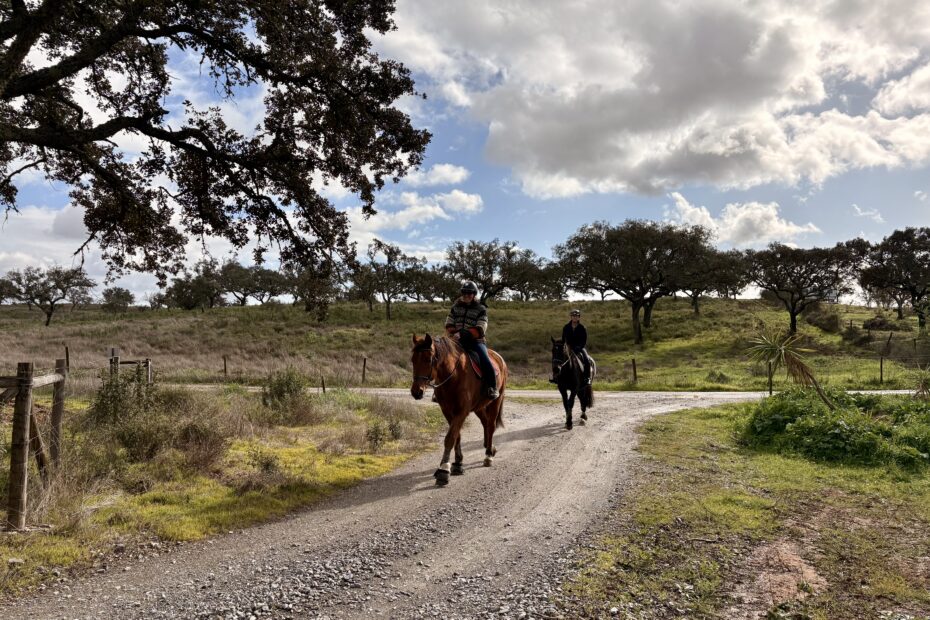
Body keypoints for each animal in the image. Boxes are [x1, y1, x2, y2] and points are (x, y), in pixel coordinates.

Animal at [408, 332, 508, 486]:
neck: (454, 376)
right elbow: (457, 436)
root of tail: (499, 358)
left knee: (491, 426)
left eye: (428, 359)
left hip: (496, 401)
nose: (416, 392)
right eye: (413, 360)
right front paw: (457, 464)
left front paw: (443, 470)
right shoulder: (448, 411)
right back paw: (490, 448)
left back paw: (488, 456)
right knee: (485, 423)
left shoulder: (462, 411)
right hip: (479, 407)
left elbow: (450, 437)